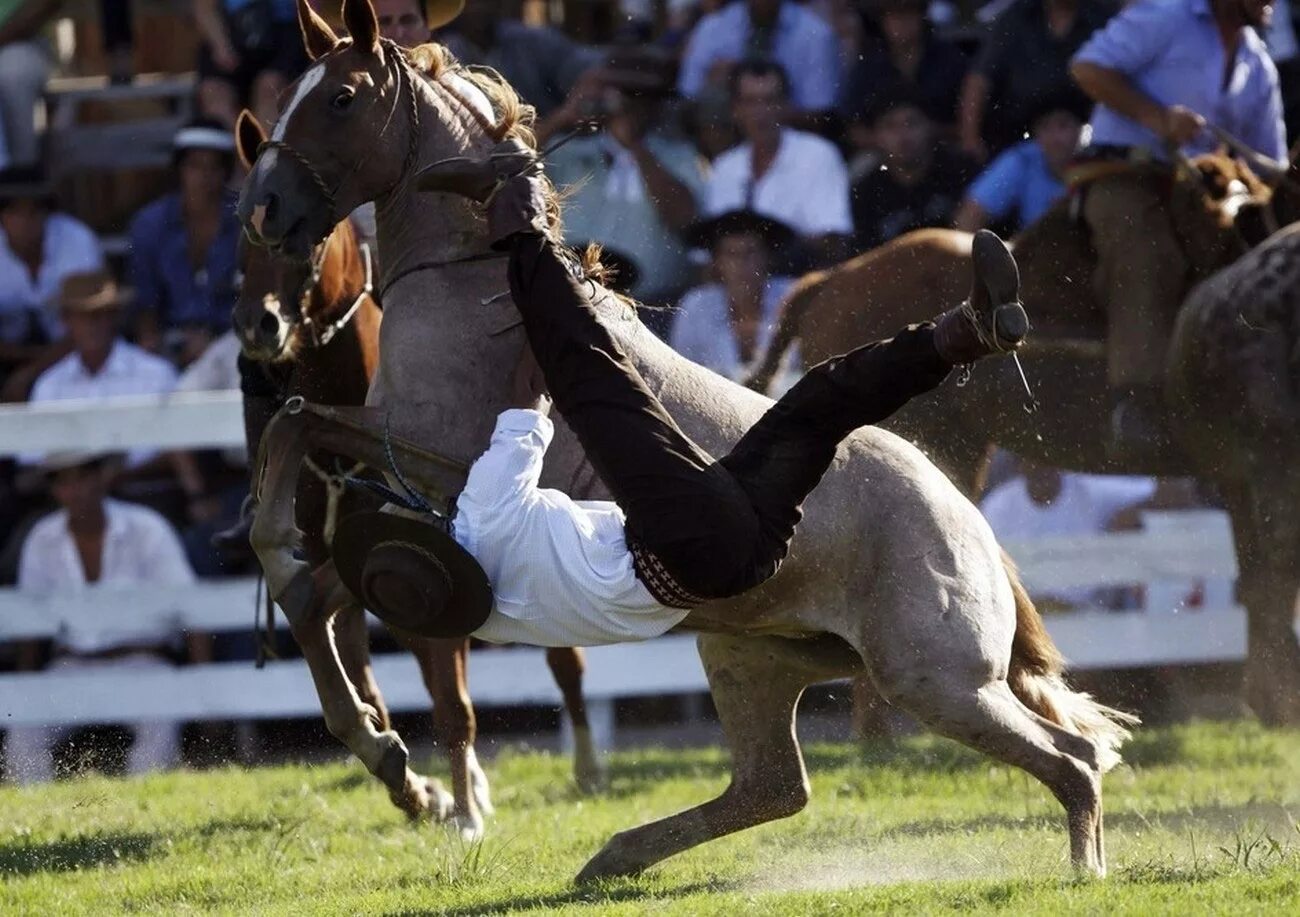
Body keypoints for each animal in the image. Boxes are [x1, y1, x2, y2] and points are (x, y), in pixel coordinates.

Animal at [239, 0, 1133, 879]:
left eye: (340, 97)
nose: (266, 210)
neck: (470, 286)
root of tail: (971, 526)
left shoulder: (437, 460)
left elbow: (301, 455)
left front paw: (391, 752)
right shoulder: (419, 488)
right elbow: (313, 556)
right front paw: (388, 752)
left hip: (933, 677)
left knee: (1069, 754)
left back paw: (1084, 865)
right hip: (758, 655)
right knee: (775, 785)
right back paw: (616, 854)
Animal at [748, 152, 1300, 723]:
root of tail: (831, 280)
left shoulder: (1240, 474)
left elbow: (1260, 577)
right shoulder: (1267, 462)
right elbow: (1274, 573)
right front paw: (1280, 703)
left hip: (958, 451)